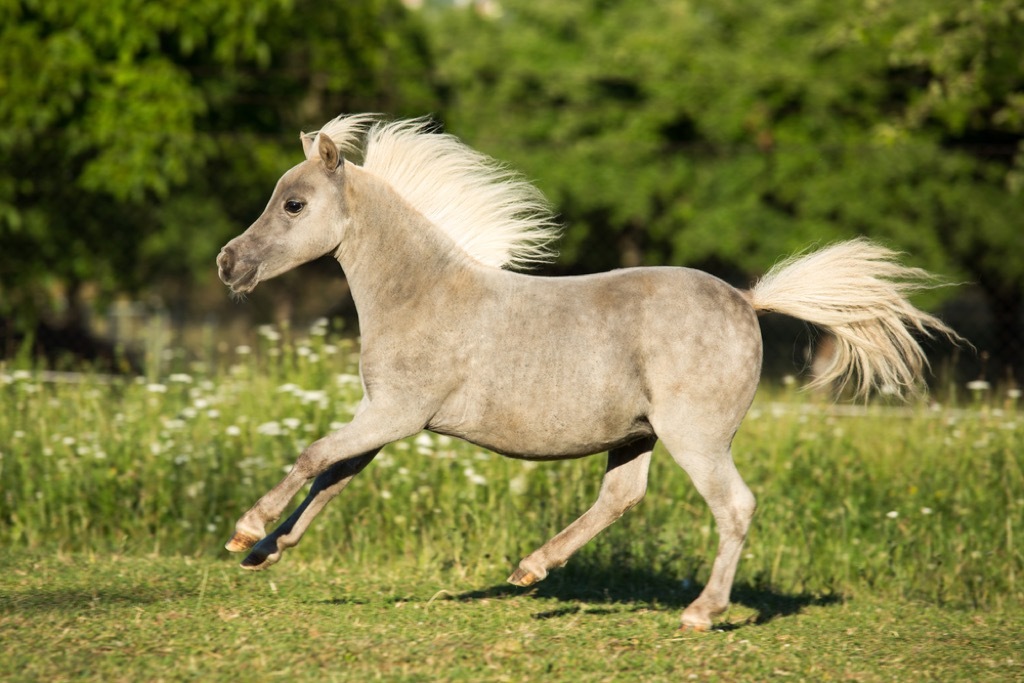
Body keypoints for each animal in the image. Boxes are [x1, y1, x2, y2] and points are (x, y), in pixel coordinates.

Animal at [216, 114, 958, 630]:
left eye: (293, 205)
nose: (229, 264)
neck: (421, 293)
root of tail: (749, 301)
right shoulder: (386, 419)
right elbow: (333, 477)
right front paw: (266, 553)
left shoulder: (395, 413)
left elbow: (315, 456)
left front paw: (246, 530)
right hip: (636, 434)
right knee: (621, 497)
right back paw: (530, 568)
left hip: (695, 436)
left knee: (734, 506)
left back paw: (699, 612)